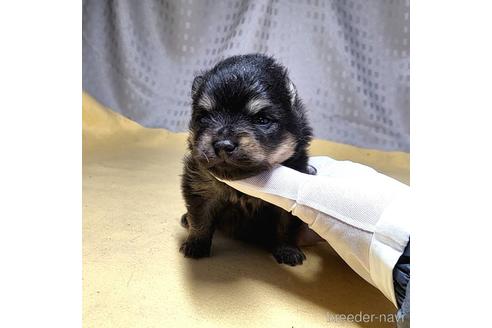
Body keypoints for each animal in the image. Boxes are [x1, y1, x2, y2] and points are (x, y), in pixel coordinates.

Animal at [179, 52, 314, 266]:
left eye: (262, 120)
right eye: (204, 117)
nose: (223, 144)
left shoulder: (288, 203)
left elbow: (286, 226)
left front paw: (288, 250)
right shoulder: (200, 188)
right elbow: (200, 220)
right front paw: (196, 245)